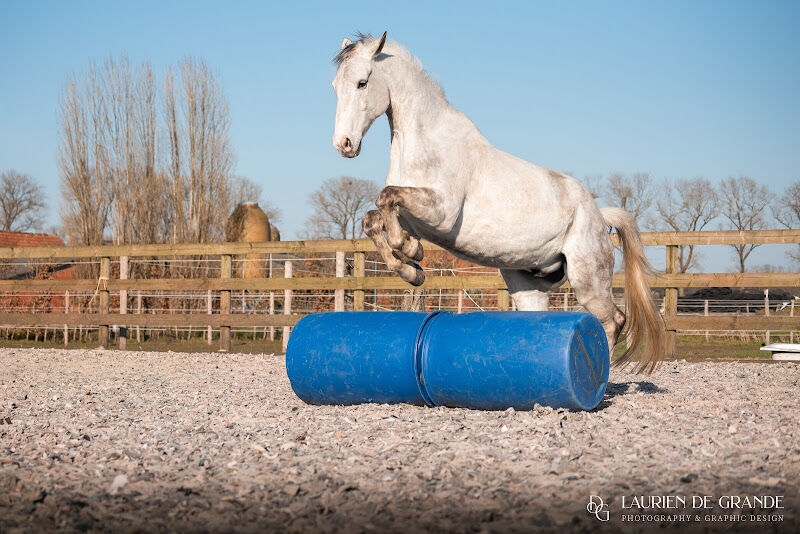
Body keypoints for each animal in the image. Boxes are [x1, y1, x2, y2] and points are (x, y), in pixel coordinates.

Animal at [328, 31, 664, 370]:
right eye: (334, 86)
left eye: (361, 83)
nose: (344, 145)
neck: (426, 143)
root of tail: (599, 214)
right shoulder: (415, 218)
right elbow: (373, 219)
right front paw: (413, 269)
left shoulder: (441, 214)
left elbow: (387, 199)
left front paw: (412, 252)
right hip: (528, 286)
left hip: (588, 280)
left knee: (613, 321)